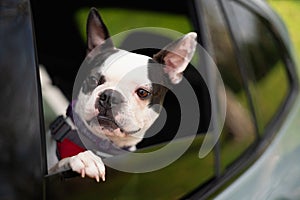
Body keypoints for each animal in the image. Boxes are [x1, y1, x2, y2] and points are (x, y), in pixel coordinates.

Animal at [47, 7, 197, 183]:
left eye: (142, 92)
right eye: (93, 80)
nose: (109, 96)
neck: (105, 146)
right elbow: (58, 165)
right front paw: (83, 158)